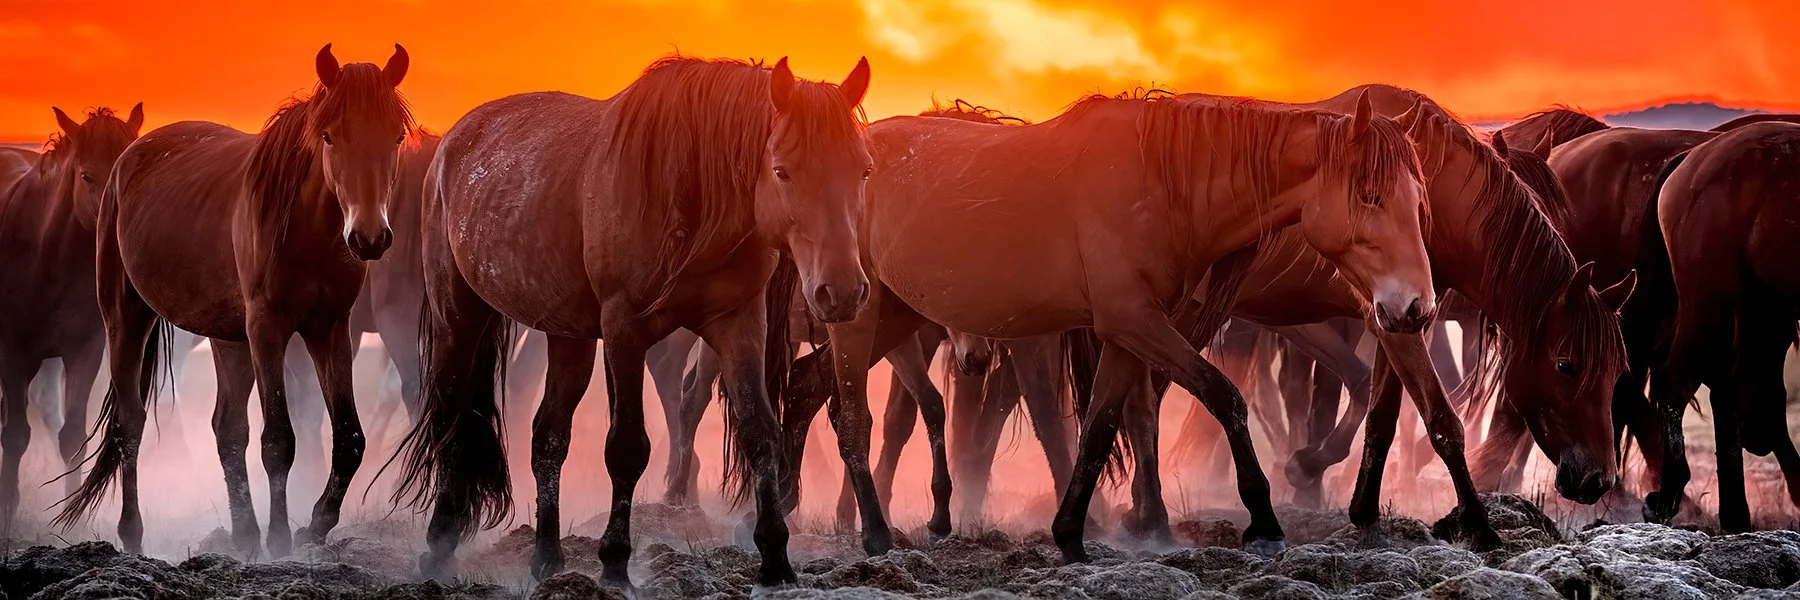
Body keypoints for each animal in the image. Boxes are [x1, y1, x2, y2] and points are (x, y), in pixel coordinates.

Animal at [0, 105, 142, 521]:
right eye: (86, 175)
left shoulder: (84, 353)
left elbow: (72, 435)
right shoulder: (13, 356)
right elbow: (16, 435)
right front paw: (7, 510)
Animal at [56, 45, 412, 559]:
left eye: (396, 136)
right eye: (329, 135)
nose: (368, 238)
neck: (305, 228)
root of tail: (129, 157)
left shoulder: (329, 328)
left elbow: (349, 438)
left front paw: (313, 527)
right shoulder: (267, 330)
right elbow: (279, 439)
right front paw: (281, 538)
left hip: (228, 338)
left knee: (227, 429)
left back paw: (244, 536)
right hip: (126, 318)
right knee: (131, 424)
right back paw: (134, 534)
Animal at [389, 55, 873, 589]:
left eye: (863, 170)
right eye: (782, 171)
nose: (842, 291)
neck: (687, 195)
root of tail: (452, 142)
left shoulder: (738, 324)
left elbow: (760, 434)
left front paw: (775, 560)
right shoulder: (624, 333)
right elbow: (626, 447)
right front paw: (616, 563)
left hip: (568, 336)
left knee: (548, 437)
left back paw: (547, 559)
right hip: (459, 319)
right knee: (451, 418)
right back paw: (439, 545)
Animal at [783, 90, 1438, 564]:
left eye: (1417, 200)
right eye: (1370, 196)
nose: (1415, 307)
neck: (1162, 181)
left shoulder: (1129, 331)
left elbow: (1100, 425)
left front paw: (1072, 534)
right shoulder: (1135, 321)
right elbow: (1224, 397)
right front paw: (1265, 521)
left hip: (896, 315)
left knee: (807, 385)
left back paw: (786, 504)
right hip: (860, 313)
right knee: (851, 414)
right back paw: (872, 534)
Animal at [1657, 122, 1800, 532]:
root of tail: (1693, 158)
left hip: (1761, 308)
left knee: (1750, 396)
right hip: (1709, 302)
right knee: (1678, 383)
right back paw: (1667, 495)